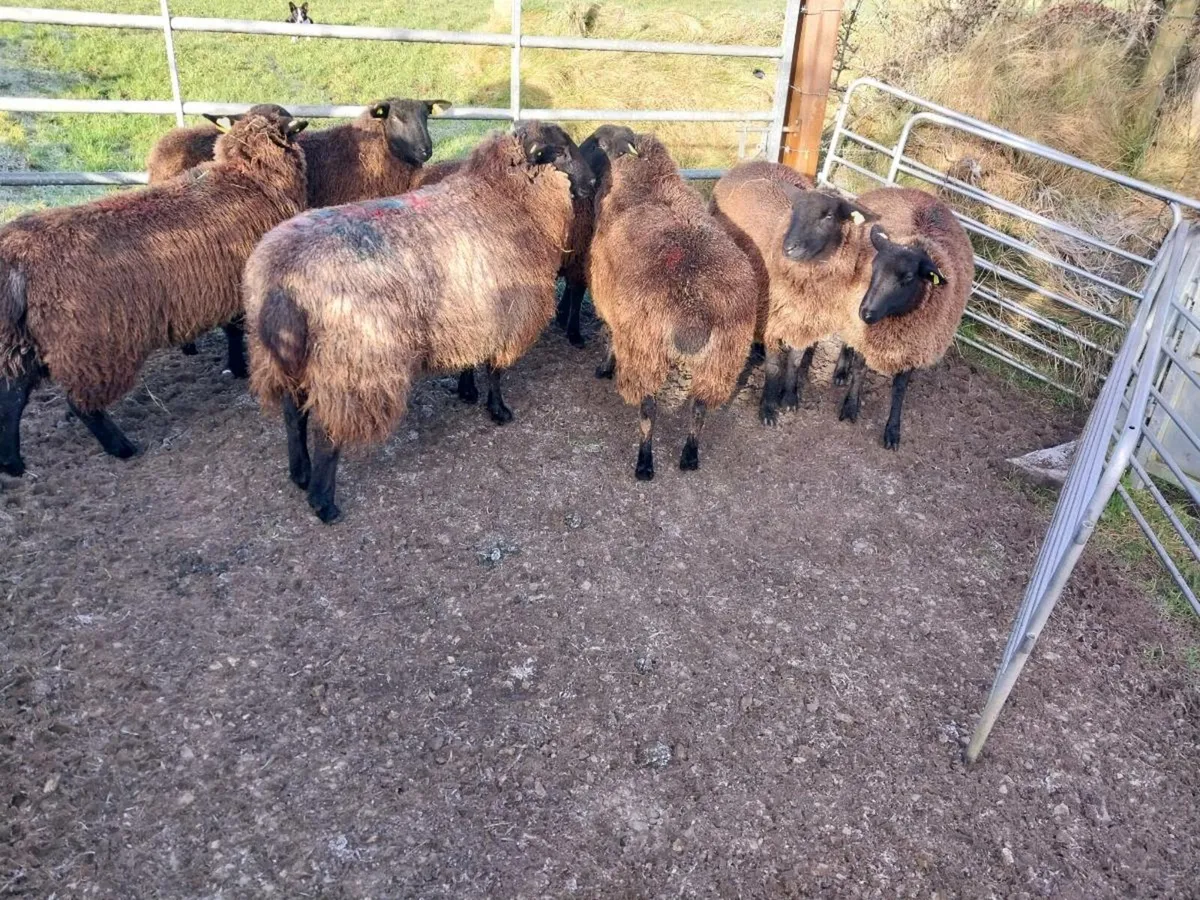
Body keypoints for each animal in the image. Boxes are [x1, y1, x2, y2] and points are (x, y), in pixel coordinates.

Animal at [0, 111, 309, 476]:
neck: (250, 179)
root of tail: (17, 259)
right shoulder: (238, 285)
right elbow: (235, 329)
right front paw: (239, 368)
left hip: (21, 342)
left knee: (12, 398)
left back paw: (13, 463)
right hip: (90, 347)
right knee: (81, 405)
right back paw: (122, 448)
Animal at [243, 121, 593, 523]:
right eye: (561, 151)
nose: (593, 181)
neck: (503, 198)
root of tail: (281, 279)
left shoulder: (470, 312)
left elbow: (472, 358)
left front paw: (467, 391)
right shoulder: (505, 312)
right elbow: (495, 370)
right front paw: (499, 410)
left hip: (281, 358)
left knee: (291, 415)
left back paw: (300, 473)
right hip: (350, 363)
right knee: (327, 433)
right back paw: (324, 502)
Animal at [586, 127, 757, 480]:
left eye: (599, 142)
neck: (647, 184)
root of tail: (693, 315)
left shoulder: (609, 298)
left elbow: (609, 334)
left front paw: (605, 366)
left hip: (646, 349)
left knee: (648, 407)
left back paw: (644, 461)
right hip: (722, 359)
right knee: (700, 406)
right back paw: (690, 454)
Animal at [710, 161, 879, 425]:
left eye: (829, 216)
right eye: (793, 211)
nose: (789, 247)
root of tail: (757, 162)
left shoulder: (804, 319)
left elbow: (796, 361)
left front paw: (789, 397)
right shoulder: (773, 316)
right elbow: (774, 367)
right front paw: (768, 408)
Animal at [829, 186, 974, 449]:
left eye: (907, 277)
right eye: (874, 267)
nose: (866, 312)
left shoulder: (913, 348)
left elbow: (899, 389)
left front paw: (893, 430)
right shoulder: (864, 333)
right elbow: (860, 369)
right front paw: (851, 406)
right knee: (847, 337)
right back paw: (841, 371)